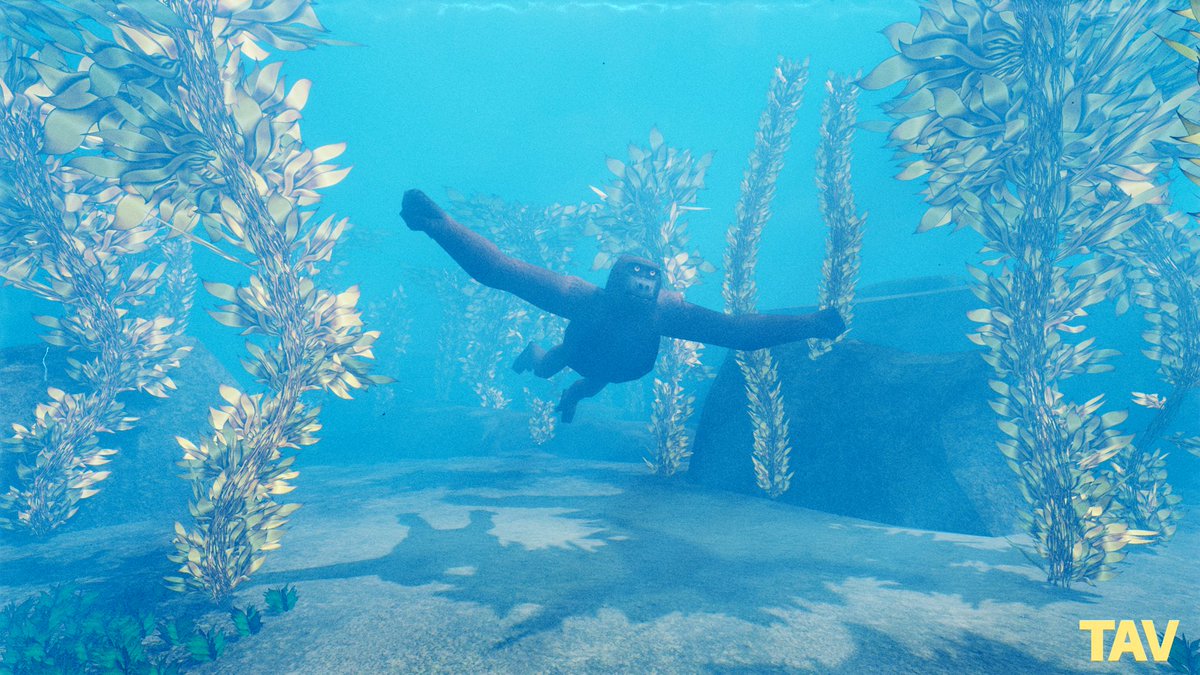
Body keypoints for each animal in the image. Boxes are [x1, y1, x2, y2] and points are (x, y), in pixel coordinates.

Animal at [401, 189, 845, 422]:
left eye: (650, 273)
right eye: (634, 269)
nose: (645, 282)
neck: (625, 308)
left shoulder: (669, 310)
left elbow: (736, 333)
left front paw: (820, 322)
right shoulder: (576, 295)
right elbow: (498, 271)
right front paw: (431, 217)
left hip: (605, 374)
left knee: (590, 382)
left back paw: (570, 398)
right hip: (575, 352)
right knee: (553, 363)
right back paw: (533, 356)